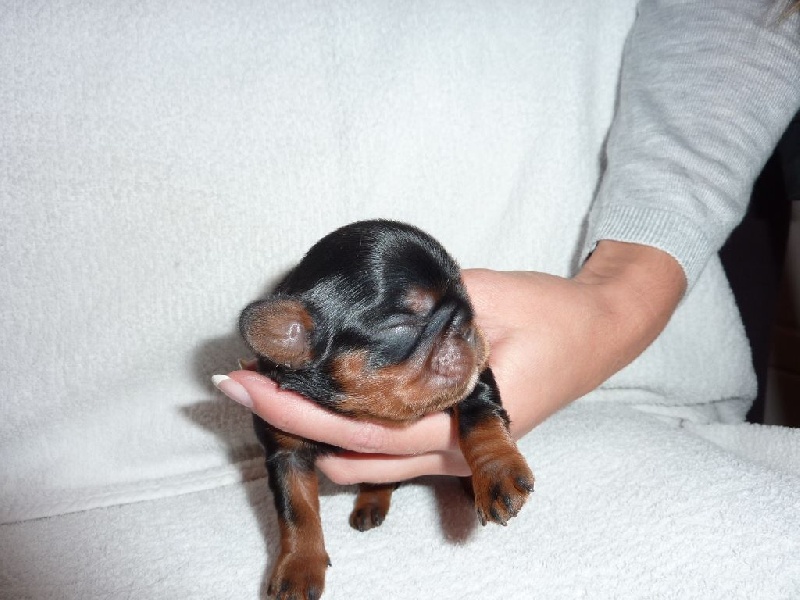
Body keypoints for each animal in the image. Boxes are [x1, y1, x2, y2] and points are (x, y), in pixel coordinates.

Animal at [239, 219, 534, 600]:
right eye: (402, 325)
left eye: (467, 299)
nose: (467, 322)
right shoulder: (284, 450)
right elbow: (297, 510)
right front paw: (298, 569)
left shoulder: (475, 378)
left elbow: (480, 416)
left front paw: (496, 475)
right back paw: (371, 503)